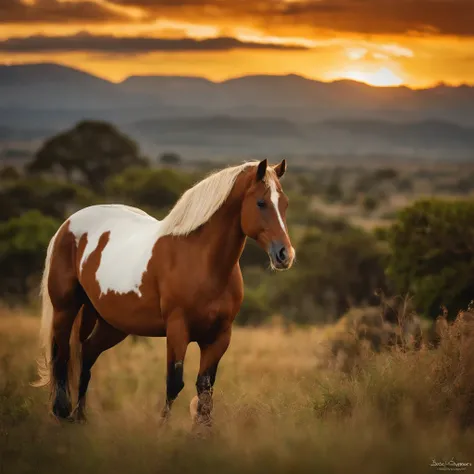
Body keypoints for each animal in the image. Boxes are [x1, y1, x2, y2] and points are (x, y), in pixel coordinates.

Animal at [33, 159, 294, 426]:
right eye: (261, 202)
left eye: (285, 203)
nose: (285, 255)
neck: (200, 259)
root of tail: (67, 225)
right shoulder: (177, 329)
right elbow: (174, 383)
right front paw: (163, 429)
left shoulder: (220, 336)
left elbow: (205, 388)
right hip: (65, 309)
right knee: (61, 355)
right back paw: (62, 412)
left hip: (112, 324)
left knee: (86, 354)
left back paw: (80, 416)